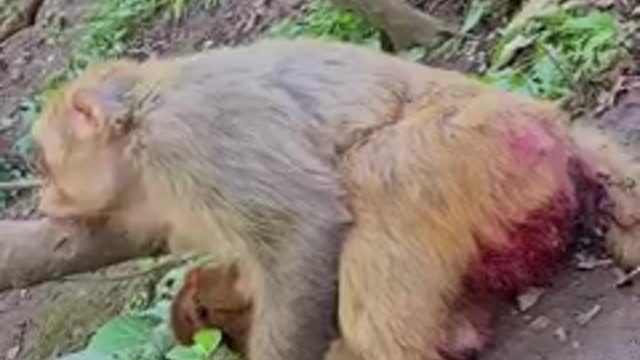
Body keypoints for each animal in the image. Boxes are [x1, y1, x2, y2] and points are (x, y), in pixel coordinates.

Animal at [31, 37, 640, 360]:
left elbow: (302, 226)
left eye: (46, 163)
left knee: (379, 172)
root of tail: (554, 129)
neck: (139, 120)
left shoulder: (186, 141)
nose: (42, 194)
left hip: (487, 149)